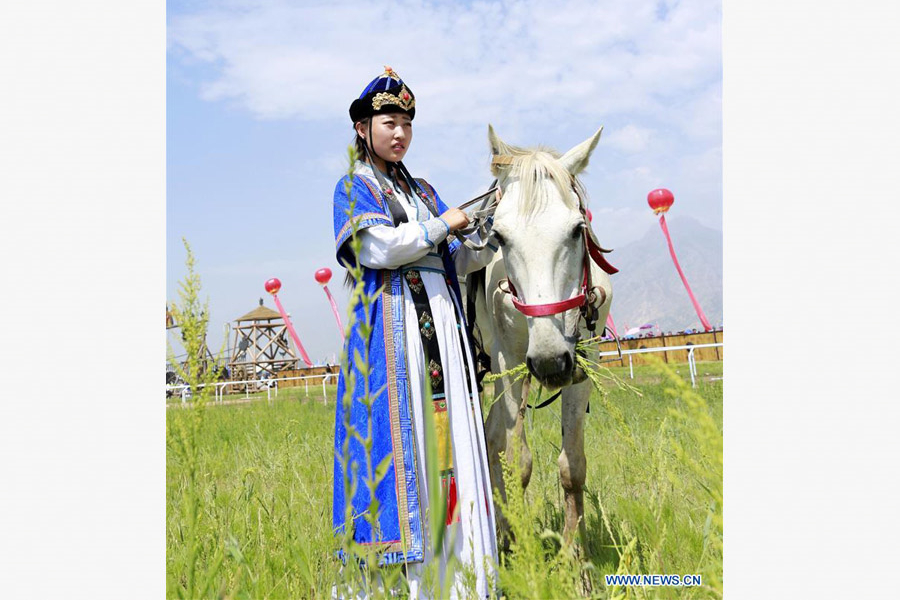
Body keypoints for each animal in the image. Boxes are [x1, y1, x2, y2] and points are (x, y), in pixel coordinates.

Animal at [472, 125, 612, 544]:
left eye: (577, 230)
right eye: (500, 237)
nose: (549, 363)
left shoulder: (584, 360)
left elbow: (573, 465)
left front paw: (573, 553)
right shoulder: (511, 362)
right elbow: (517, 459)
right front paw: (523, 549)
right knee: (494, 440)